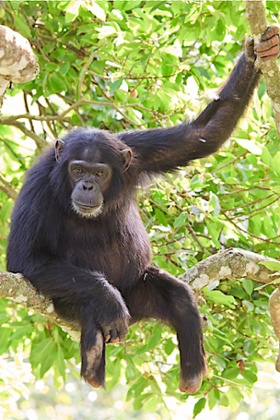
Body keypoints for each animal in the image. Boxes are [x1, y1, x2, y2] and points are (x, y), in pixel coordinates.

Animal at [6, 27, 280, 394]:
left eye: (99, 173)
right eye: (78, 170)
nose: (87, 185)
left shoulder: (137, 151)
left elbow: (203, 135)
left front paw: (257, 53)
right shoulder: (36, 187)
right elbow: (26, 258)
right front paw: (107, 299)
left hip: (139, 287)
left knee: (179, 297)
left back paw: (191, 375)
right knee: (87, 307)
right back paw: (95, 353)